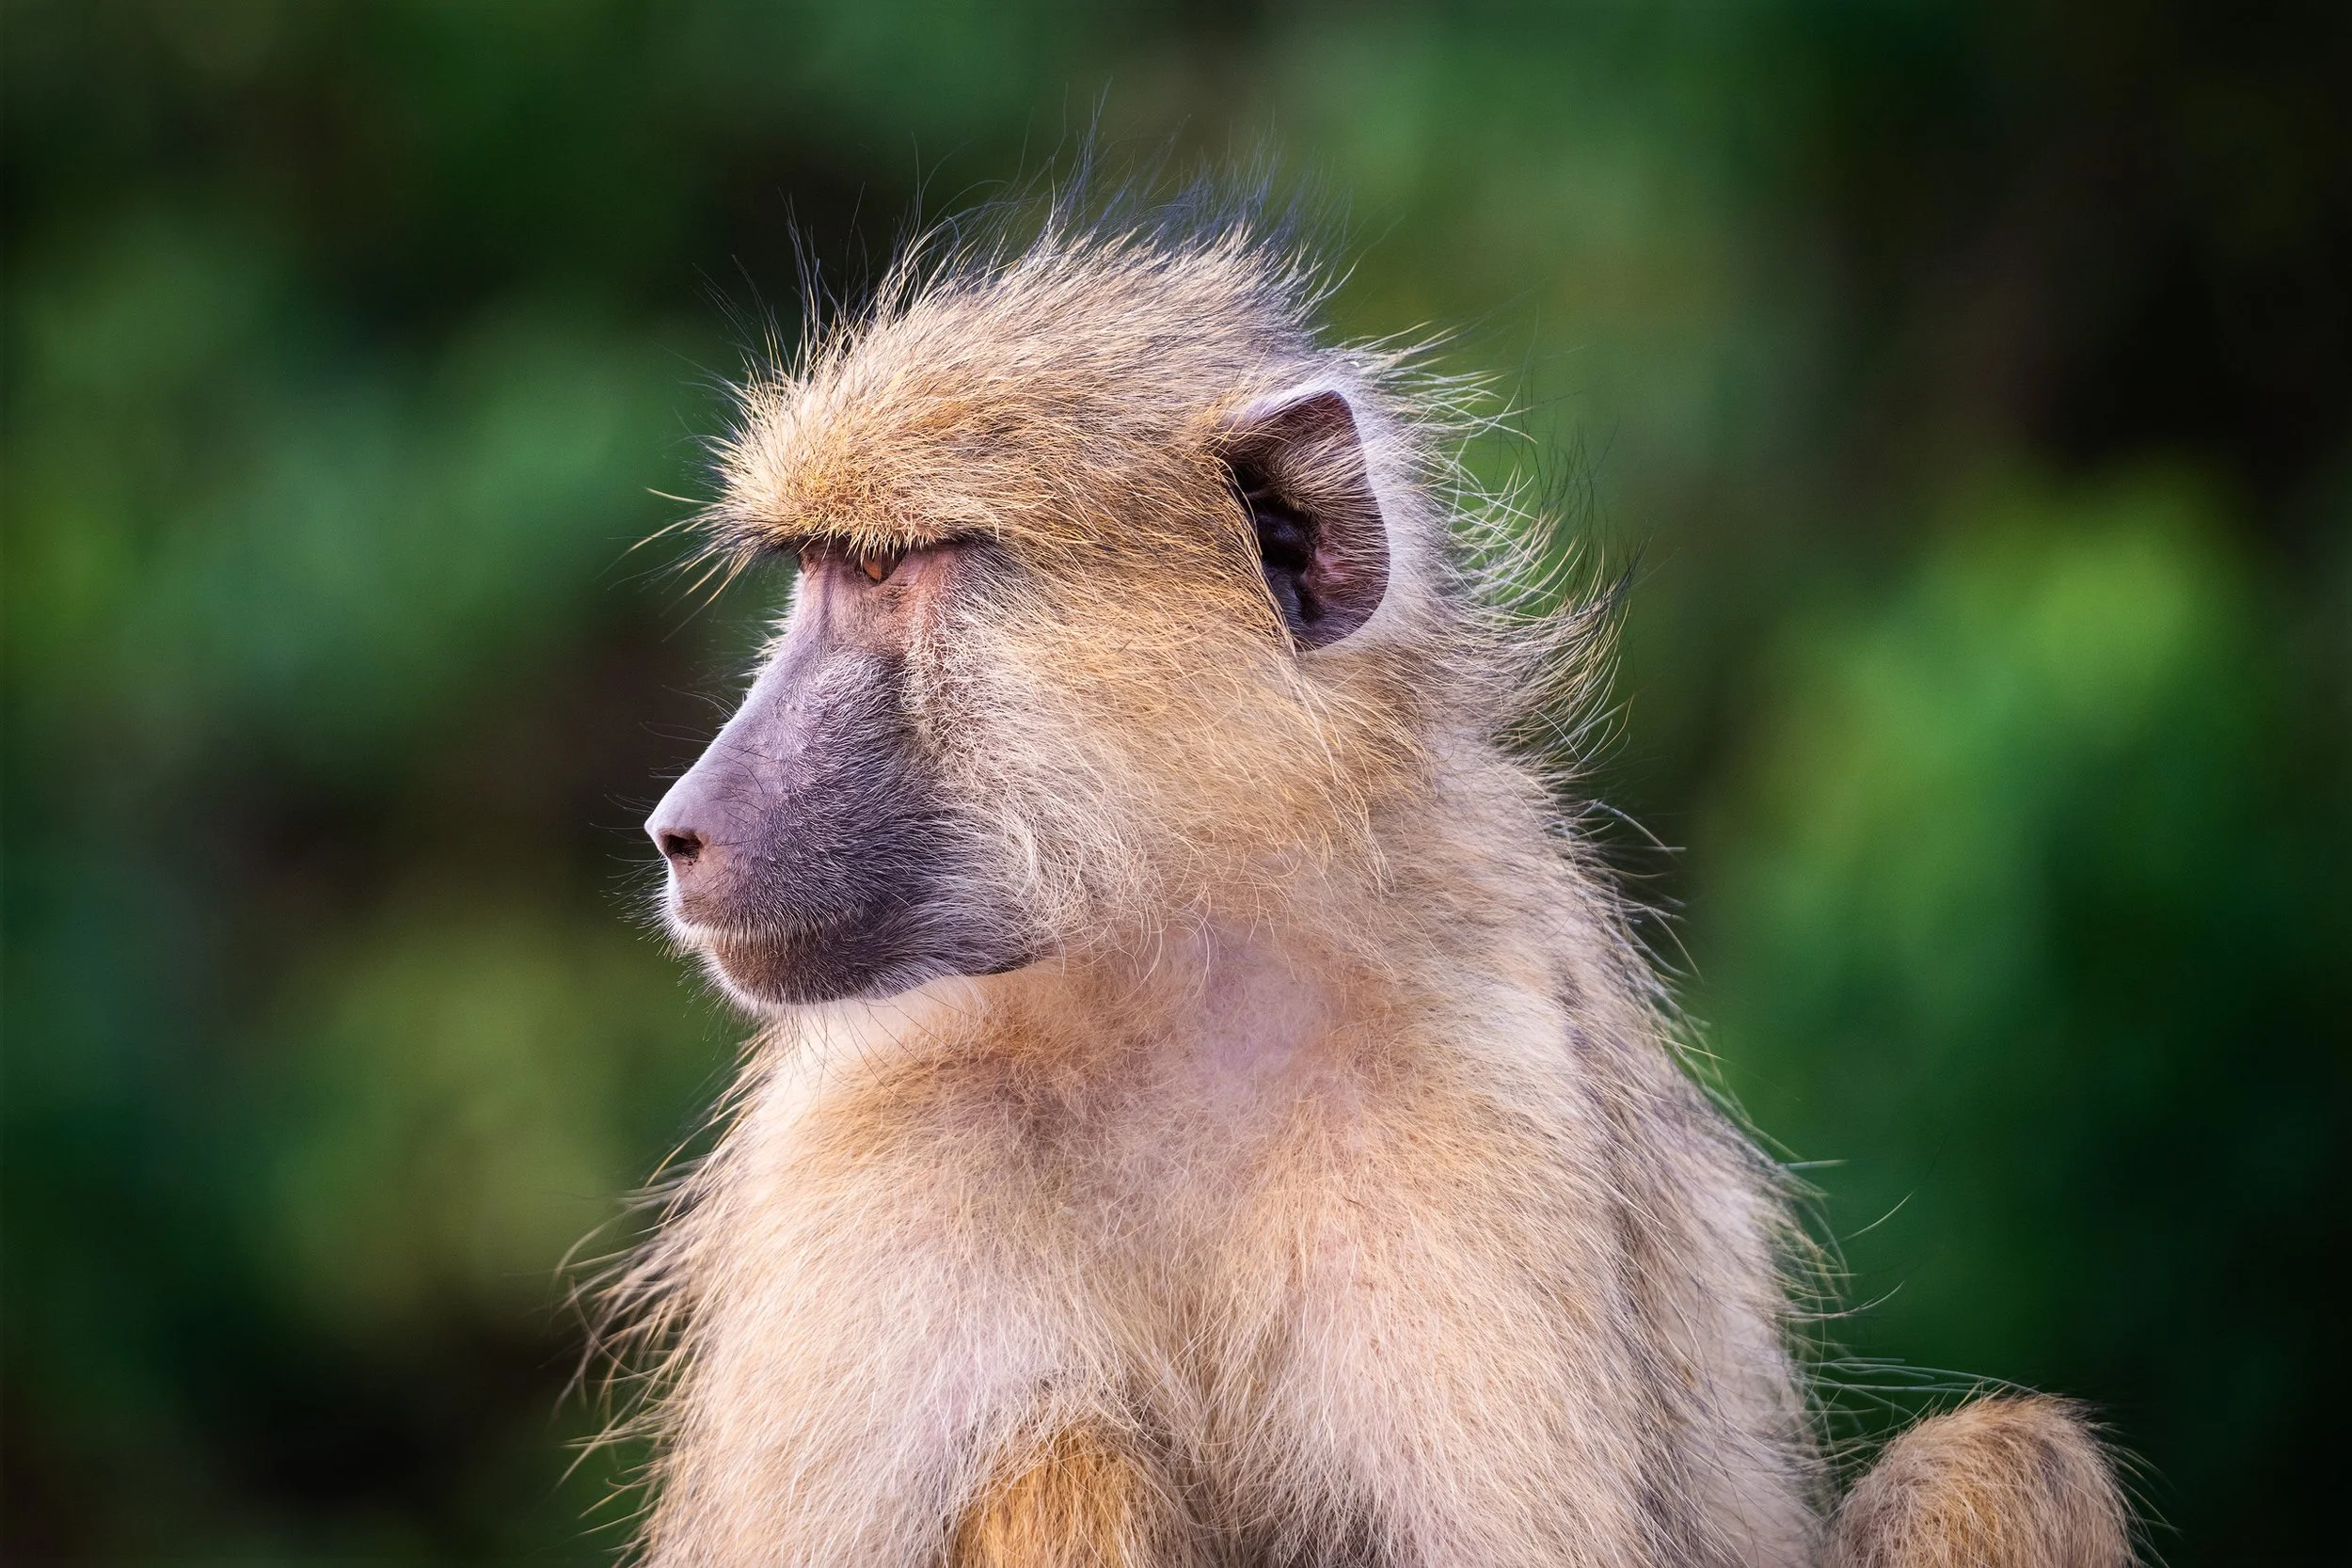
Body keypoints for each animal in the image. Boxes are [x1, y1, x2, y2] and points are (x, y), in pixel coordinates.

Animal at [616, 192, 2133, 1568]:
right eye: (818, 573)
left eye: (891, 573)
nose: (679, 827)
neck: (1165, 981)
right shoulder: (857, 1139)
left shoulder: (1477, 1077)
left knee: (2000, 1458)